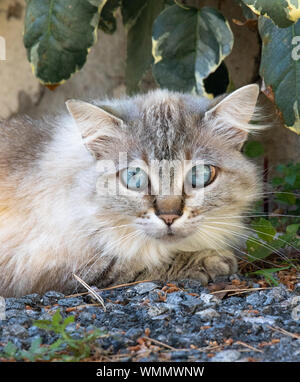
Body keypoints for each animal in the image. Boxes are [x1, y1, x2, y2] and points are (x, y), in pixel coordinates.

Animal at [0, 84, 264, 298]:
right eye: (134, 178)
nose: (169, 217)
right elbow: (134, 262)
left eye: (199, 176)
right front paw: (211, 261)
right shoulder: (45, 264)